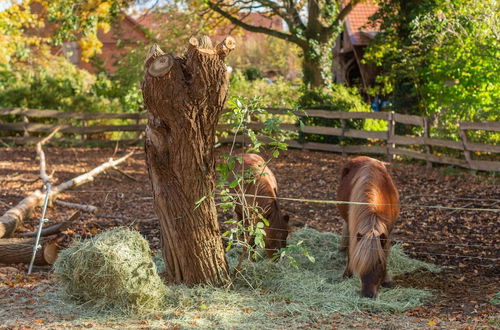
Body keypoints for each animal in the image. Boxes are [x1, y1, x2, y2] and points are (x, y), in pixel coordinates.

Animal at [338, 156, 400, 298]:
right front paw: (347, 274)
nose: (368, 294)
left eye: (379, 263)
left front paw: (386, 280)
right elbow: (351, 252)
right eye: (360, 263)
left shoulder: (387, 233)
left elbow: (385, 252)